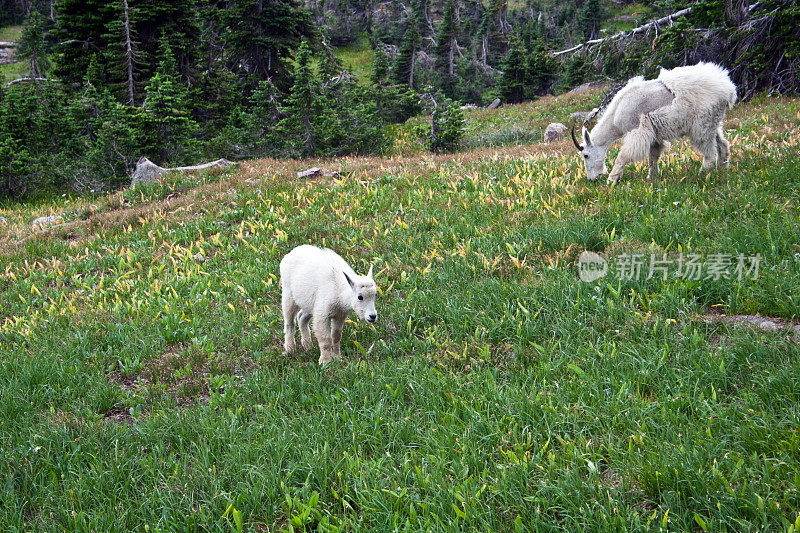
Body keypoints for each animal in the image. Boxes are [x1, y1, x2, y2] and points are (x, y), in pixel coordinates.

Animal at [576, 61, 736, 183]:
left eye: (586, 155)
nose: (592, 179)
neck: (616, 115)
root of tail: (728, 89)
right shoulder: (654, 133)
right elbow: (653, 157)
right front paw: (651, 178)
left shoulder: (637, 130)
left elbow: (623, 156)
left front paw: (612, 179)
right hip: (713, 121)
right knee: (722, 144)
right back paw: (722, 169)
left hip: (701, 124)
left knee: (709, 151)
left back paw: (703, 173)